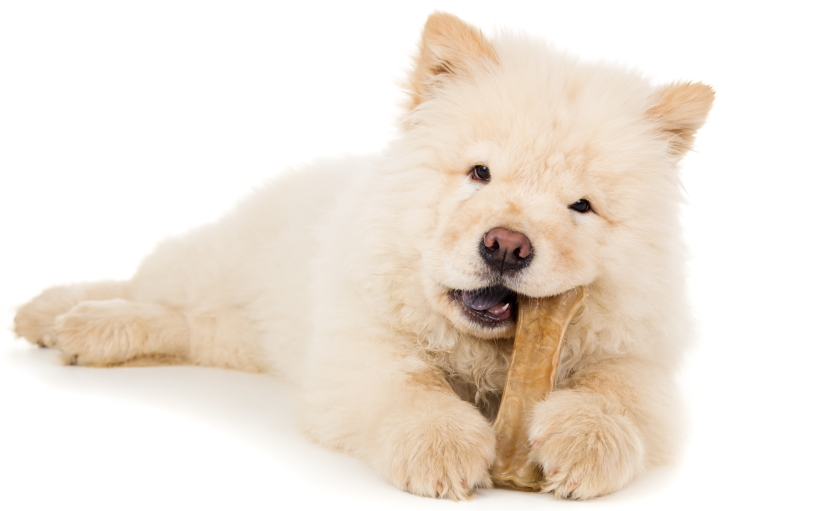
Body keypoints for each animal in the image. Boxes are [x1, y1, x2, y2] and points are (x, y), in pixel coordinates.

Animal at [16, 13, 716, 504]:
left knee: (190, 325)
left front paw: (581, 448)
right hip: (216, 261)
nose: (506, 244)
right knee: (149, 282)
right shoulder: (358, 348)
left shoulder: (640, 361)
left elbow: (612, 394)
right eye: (479, 174)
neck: (491, 360)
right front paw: (444, 451)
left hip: (245, 335)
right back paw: (57, 314)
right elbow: (411, 387)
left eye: (581, 206)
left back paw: (83, 331)